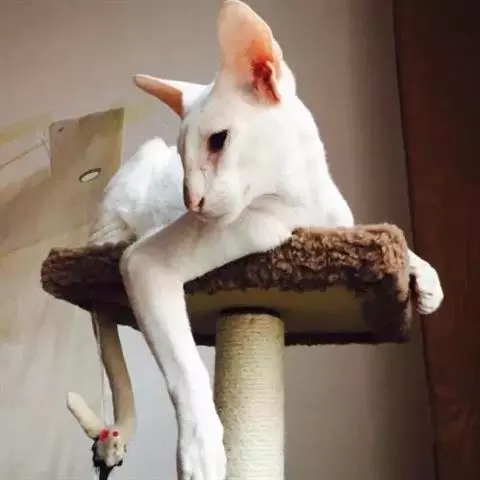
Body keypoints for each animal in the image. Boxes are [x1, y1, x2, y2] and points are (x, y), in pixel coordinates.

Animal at [66, 1, 444, 479]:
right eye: (184, 156)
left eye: (218, 141)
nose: (191, 201)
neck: (302, 203)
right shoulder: (145, 264)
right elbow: (186, 372)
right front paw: (201, 453)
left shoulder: (345, 226)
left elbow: (392, 236)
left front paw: (426, 278)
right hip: (129, 196)